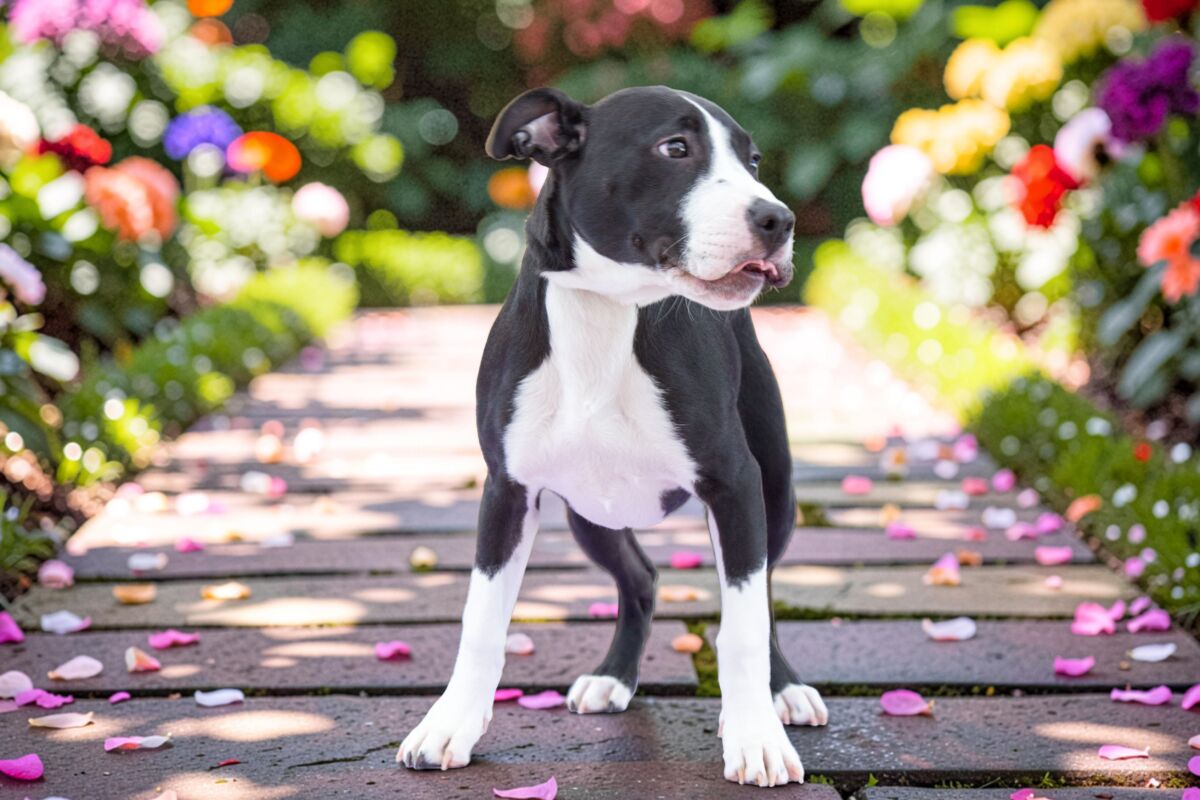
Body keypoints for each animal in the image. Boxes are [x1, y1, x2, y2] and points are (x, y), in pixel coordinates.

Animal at [398, 85, 828, 787]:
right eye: (675, 148)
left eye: (753, 161)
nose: (779, 219)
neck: (606, 314)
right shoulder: (507, 491)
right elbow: (481, 619)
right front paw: (448, 725)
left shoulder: (735, 484)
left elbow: (742, 623)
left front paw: (756, 738)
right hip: (589, 515)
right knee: (640, 577)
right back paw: (613, 678)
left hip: (776, 492)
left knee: (760, 592)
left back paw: (784, 691)